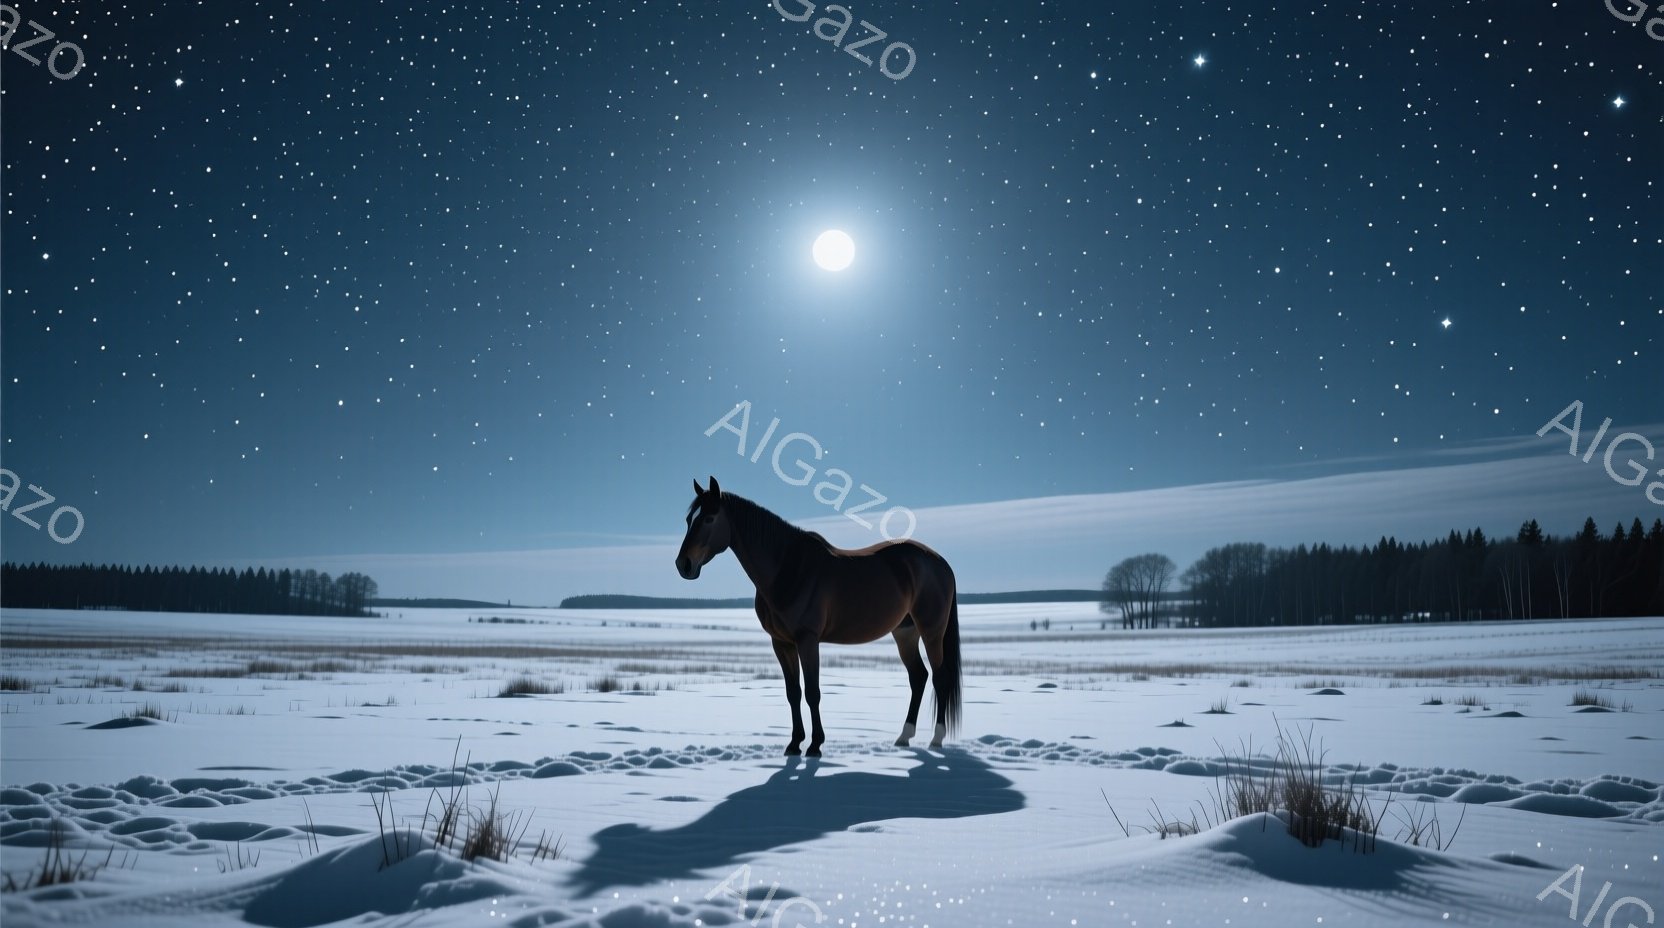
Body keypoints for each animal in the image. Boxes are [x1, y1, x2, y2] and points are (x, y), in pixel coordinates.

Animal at [675, 476, 961, 756]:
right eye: (689, 519)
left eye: (709, 518)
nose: (683, 565)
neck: (788, 569)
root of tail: (939, 562)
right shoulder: (781, 643)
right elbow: (793, 692)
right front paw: (794, 744)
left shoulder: (807, 640)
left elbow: (813, 692)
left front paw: (815, 745)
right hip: (905, 632)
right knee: (918, 677)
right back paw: (904, 737)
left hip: (931, 632)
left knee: (940, 677)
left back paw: (936, 740)